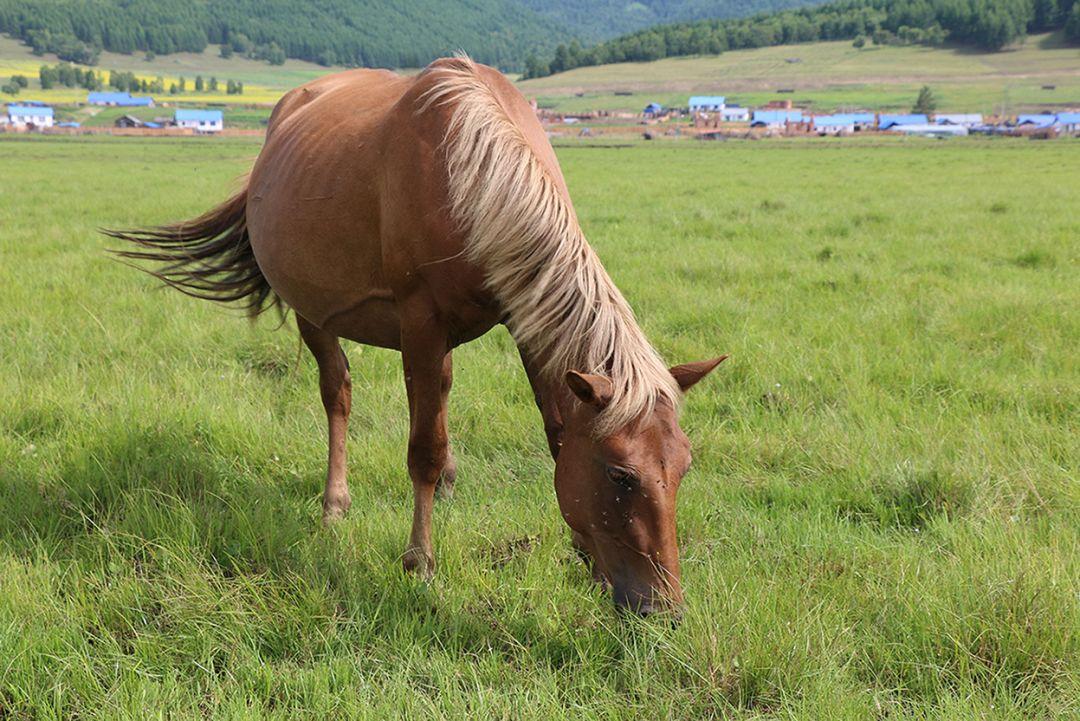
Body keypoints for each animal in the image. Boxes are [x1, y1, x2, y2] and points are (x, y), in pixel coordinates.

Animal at [107, 59, 725, 617]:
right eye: (620, 475)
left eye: (684, 466)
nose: (664, 609)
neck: (471, 174)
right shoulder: (420, 324)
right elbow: (423, 450)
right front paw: (420, 563)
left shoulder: (522, 313)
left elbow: (550, 428)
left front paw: (582, 556)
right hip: (315, 314)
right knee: (338, 394)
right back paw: (335, 503)